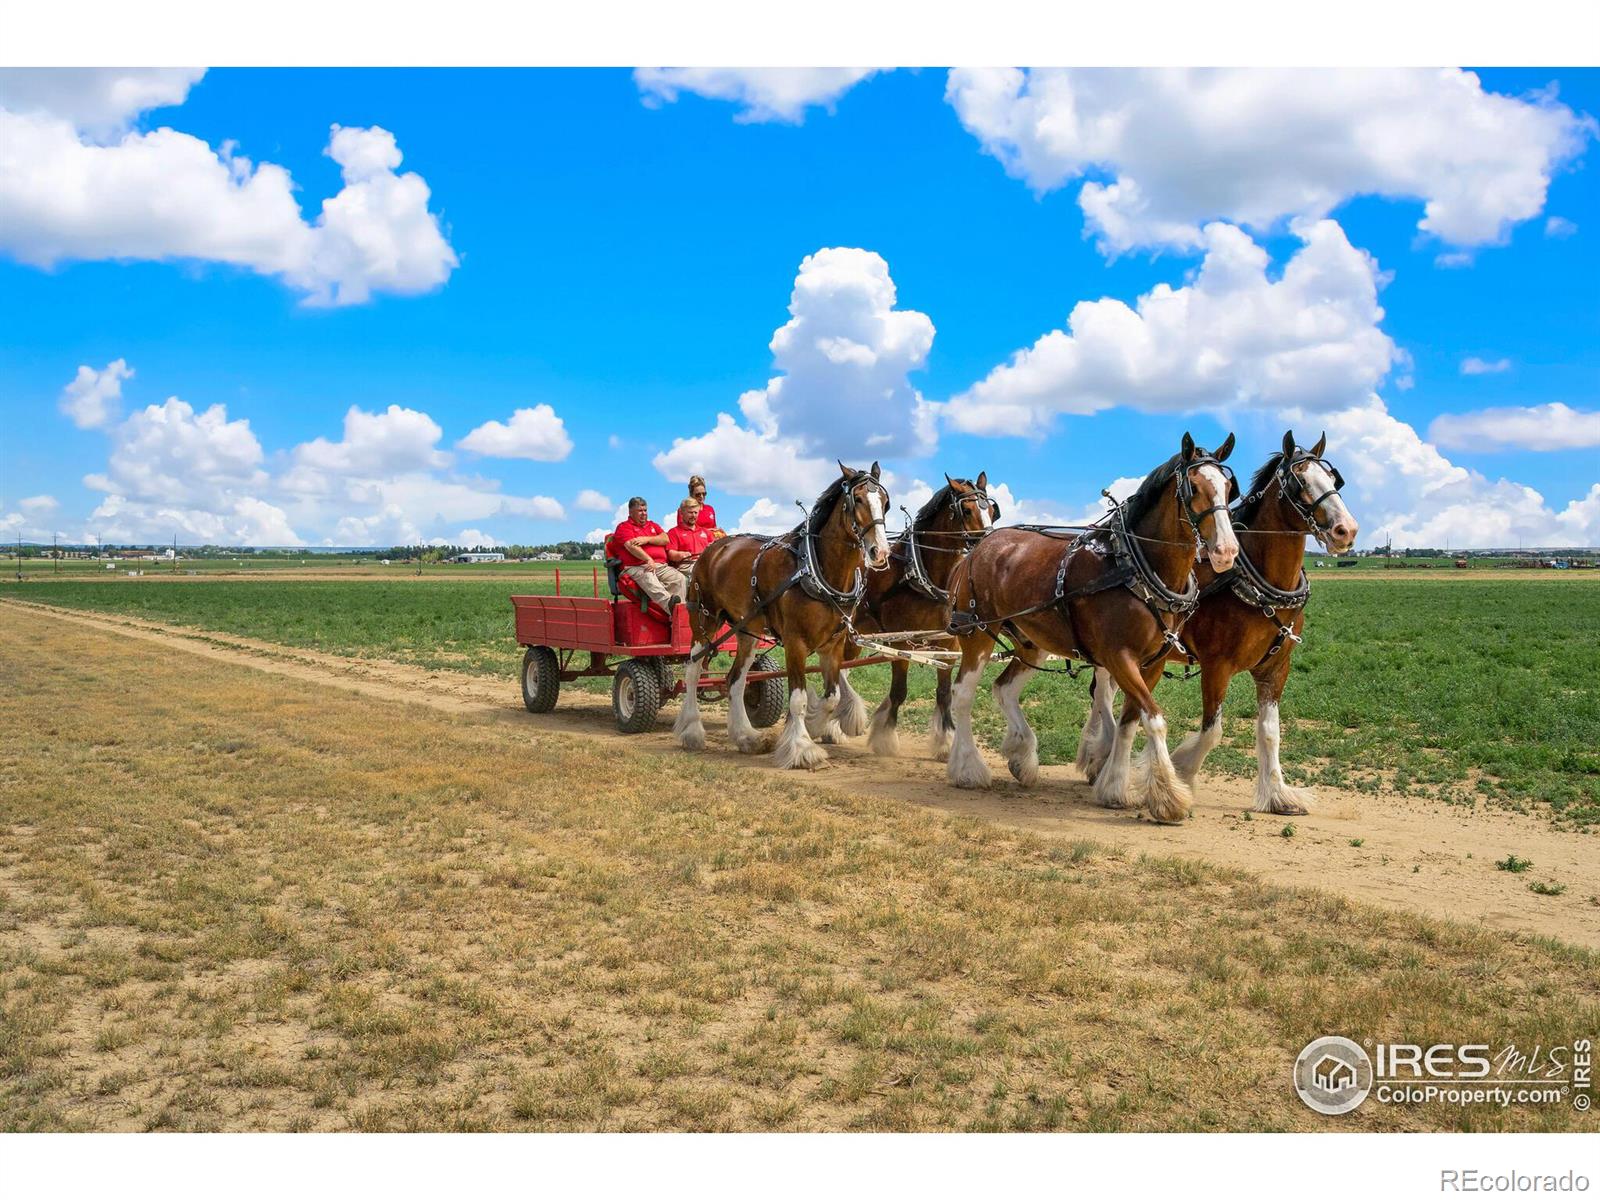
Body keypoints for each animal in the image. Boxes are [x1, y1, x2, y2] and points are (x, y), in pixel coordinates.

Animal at [675, 460, 896, 771]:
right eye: (858, 499)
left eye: (886, 502)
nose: (880, 551)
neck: (816, 568)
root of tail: (712, 550)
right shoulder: (795, 643)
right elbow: (797, 700)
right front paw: (802, 748)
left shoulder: (833, 646)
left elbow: (832, 697)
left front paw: (815, 726)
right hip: (704, 620)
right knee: (693, 671)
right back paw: (692, 731)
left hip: (747, 630)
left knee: (735, 680)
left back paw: (746, 737)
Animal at [940, 435, 1241, 825]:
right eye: (1194, 488)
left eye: (1229, 489)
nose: (1226, 550)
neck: (1136, 568)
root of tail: (977, 549)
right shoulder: (1119, 657)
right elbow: (1154, 719)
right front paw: (1169, 798)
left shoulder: (1153, 662)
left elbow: (1131, 720)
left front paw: (1114, 787)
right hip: (977, 634)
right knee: (963, 693)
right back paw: (968, 769)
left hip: (1032, 641)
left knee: (1004, 688)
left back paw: (1023, 755)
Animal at [1075, 432, 1363, 819]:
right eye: (1299, 481)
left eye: (1334, 480)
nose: (1346, 530)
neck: (1257, 580)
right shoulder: (1217, 665)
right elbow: (1213, 730)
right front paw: (1181, 769)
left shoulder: (1276, 667)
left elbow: (1270, 731)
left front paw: (1278, 794)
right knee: (1104, 692)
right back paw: (1099, 755)